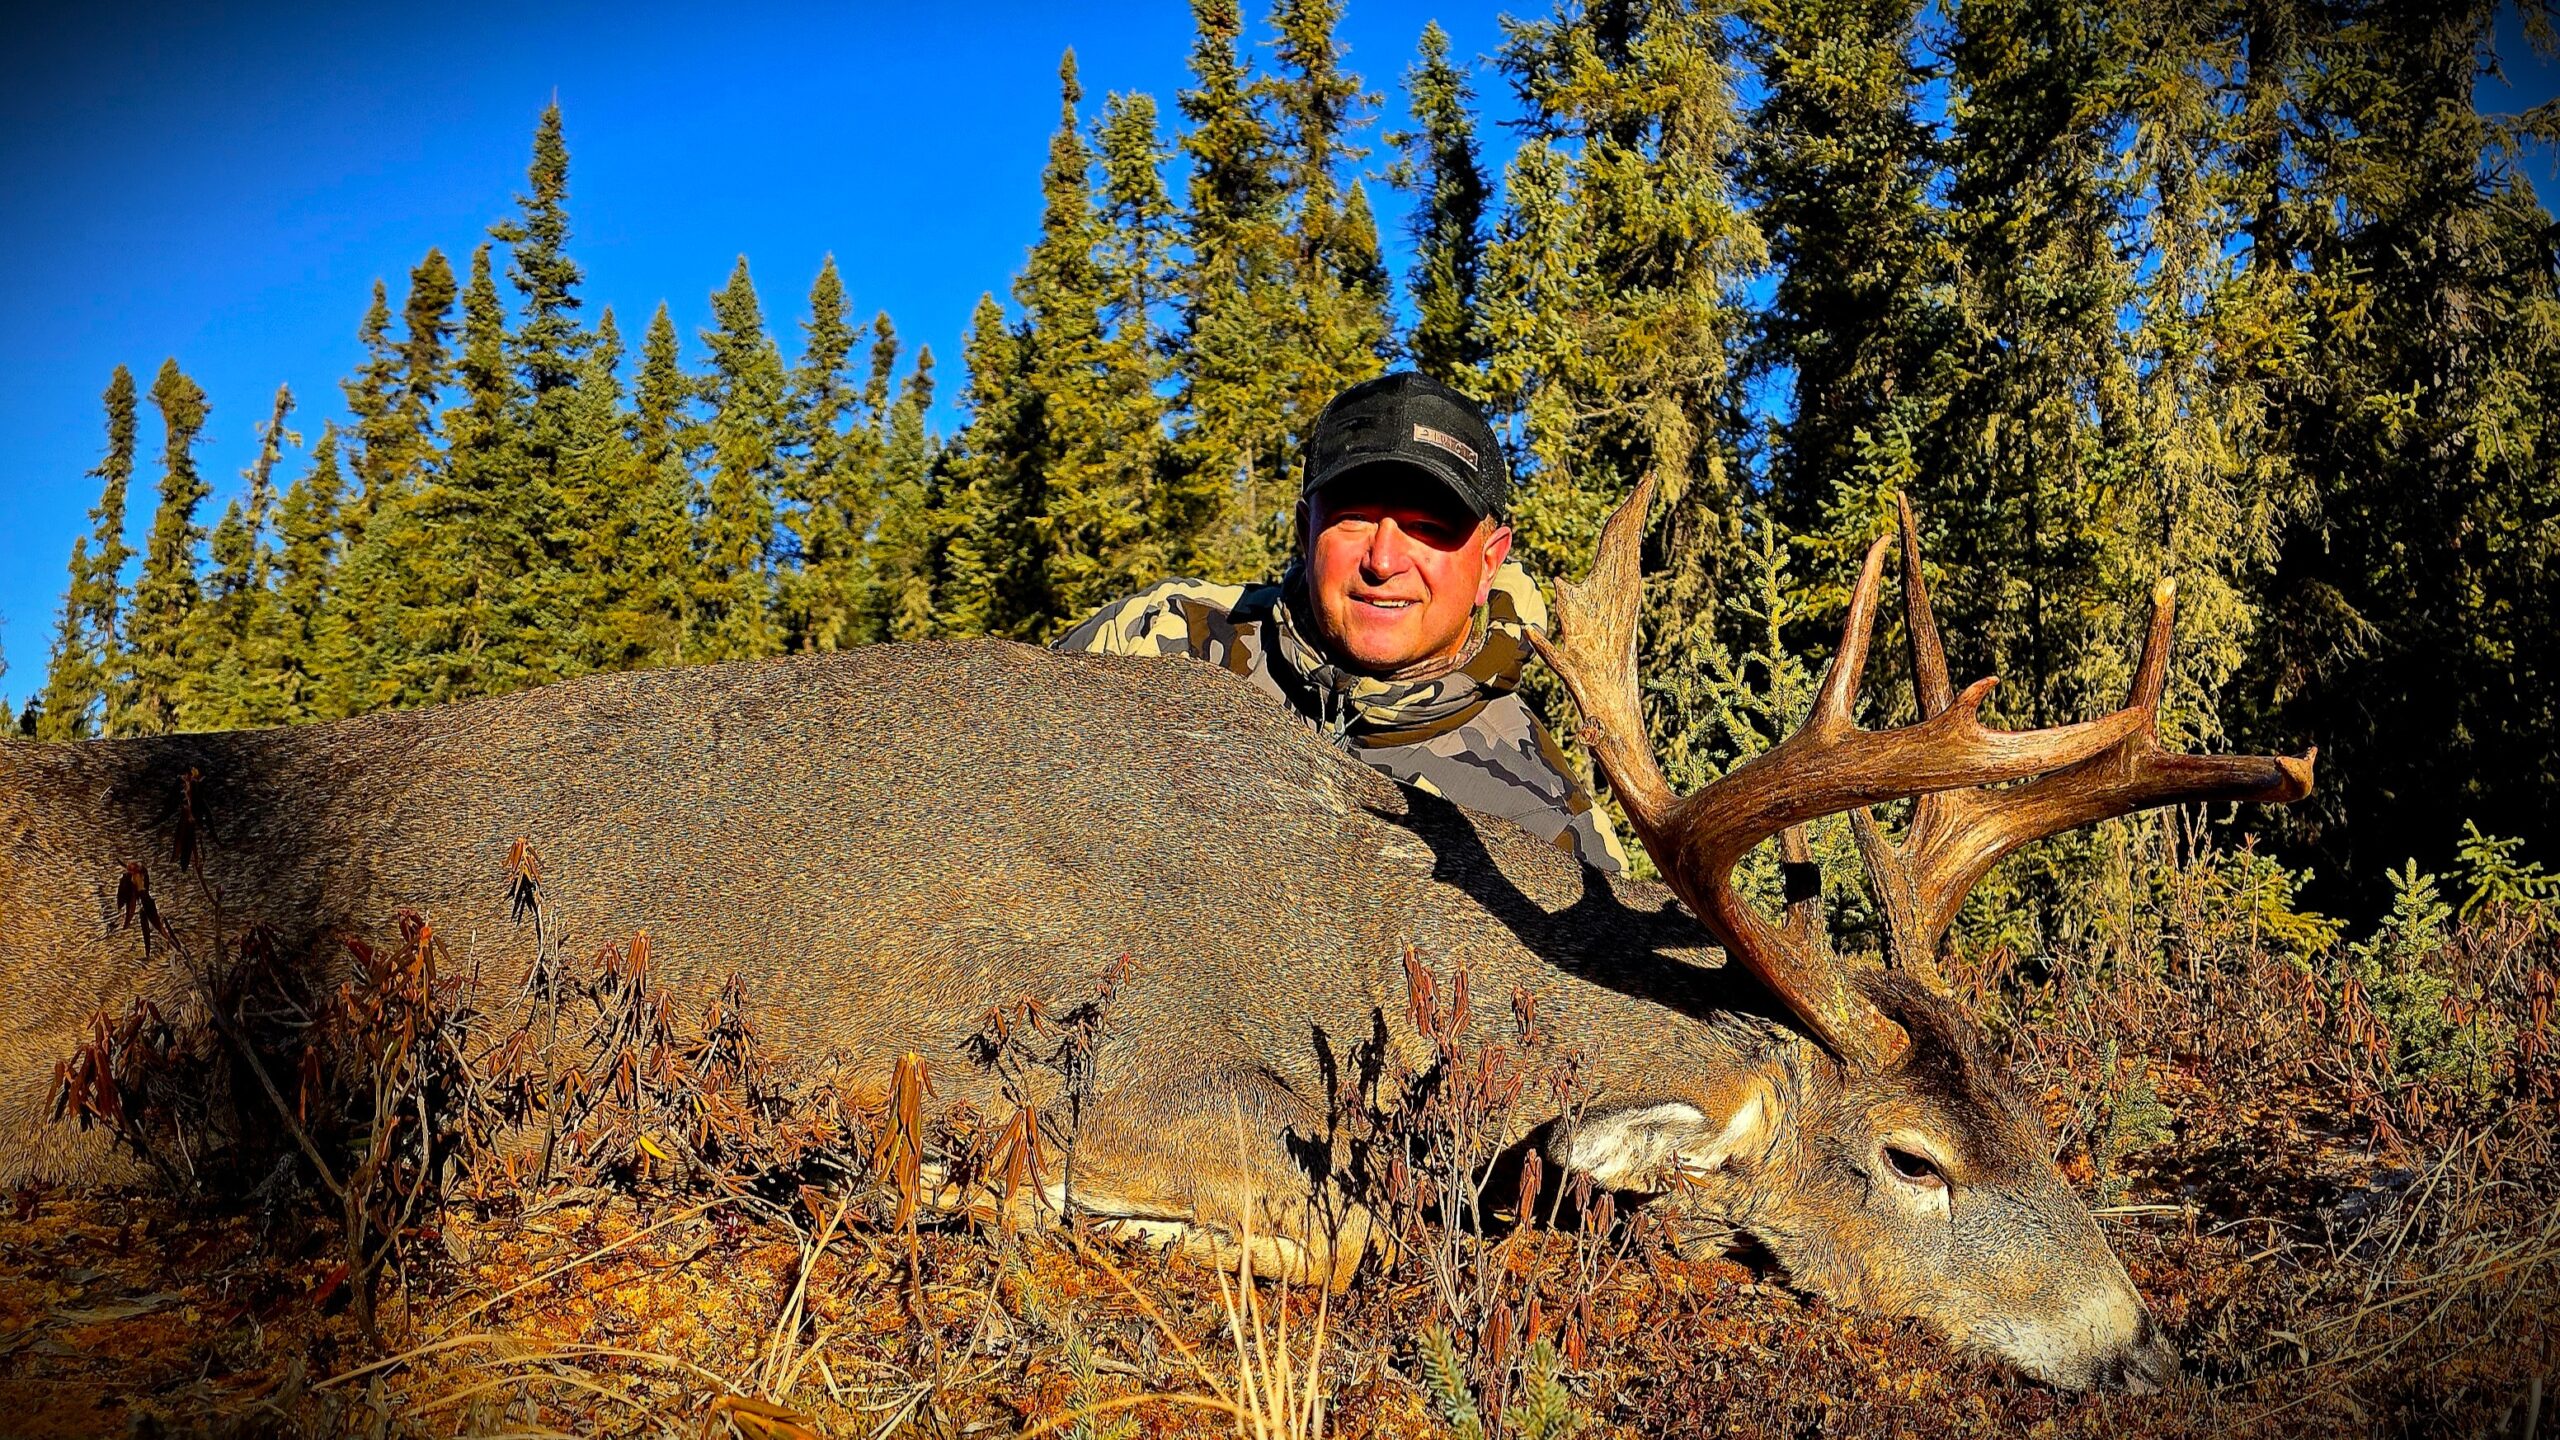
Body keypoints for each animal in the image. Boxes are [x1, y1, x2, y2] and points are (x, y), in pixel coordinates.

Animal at [0, 485, 2311, 1392]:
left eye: (2034, 1117)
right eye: (1908, 1162)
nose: (2132, 1336)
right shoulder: (1055, 1053)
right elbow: (1330, 1226)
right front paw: (949, 1189)